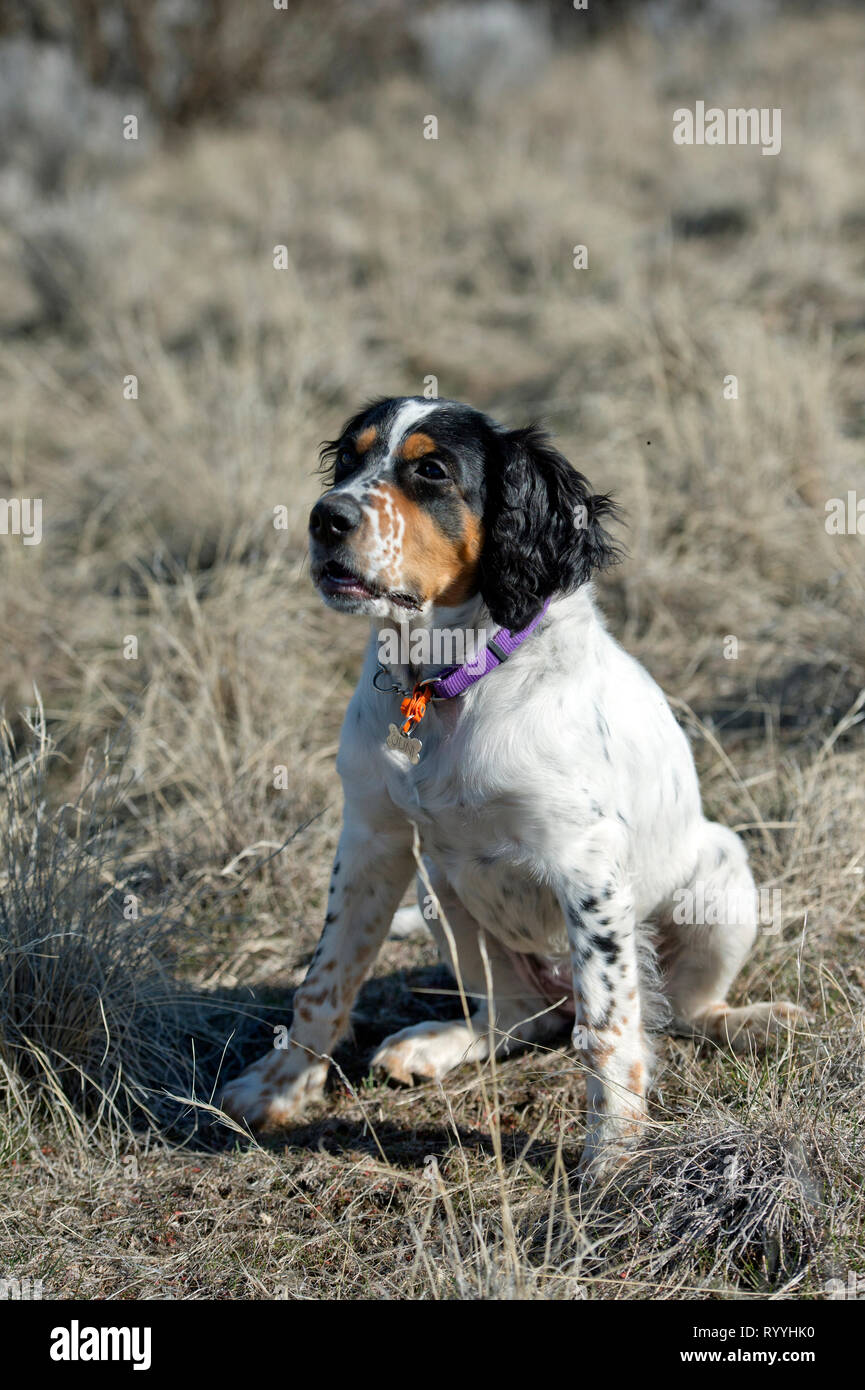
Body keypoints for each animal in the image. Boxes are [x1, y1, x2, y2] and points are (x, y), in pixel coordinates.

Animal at [225, 397, 806, 1178]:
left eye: (432, 471)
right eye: (347, 459)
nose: (324, 518)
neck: (448, 685)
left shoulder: (586, 866)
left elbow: (609, 1026)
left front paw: (611, 1158)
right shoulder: (373, 837)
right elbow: (325, 980)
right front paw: (277, 1091)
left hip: (721, 870)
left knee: (674, 1013)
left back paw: (757, 1023)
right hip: (439, 896)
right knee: (514, 1020)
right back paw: (434, 1044)